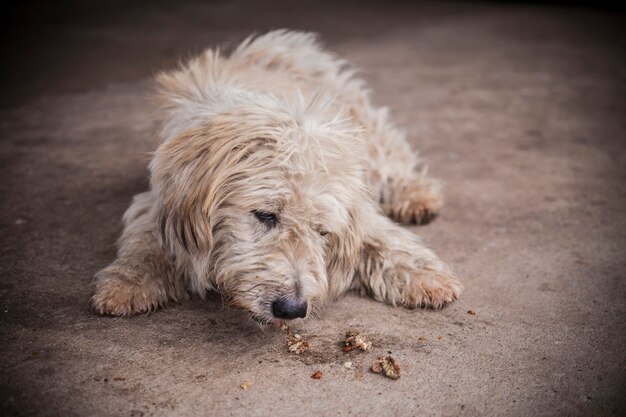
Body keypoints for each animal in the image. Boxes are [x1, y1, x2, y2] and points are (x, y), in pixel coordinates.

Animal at [90, 29, 460, 324]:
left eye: (322, 231)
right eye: (265, 215)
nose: (292, 308)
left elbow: (383, 239)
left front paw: (422, 274)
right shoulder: (160, 199)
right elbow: (147, 242)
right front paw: (127, 281)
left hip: (363, 120)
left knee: (392, 150)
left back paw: (416, 194)